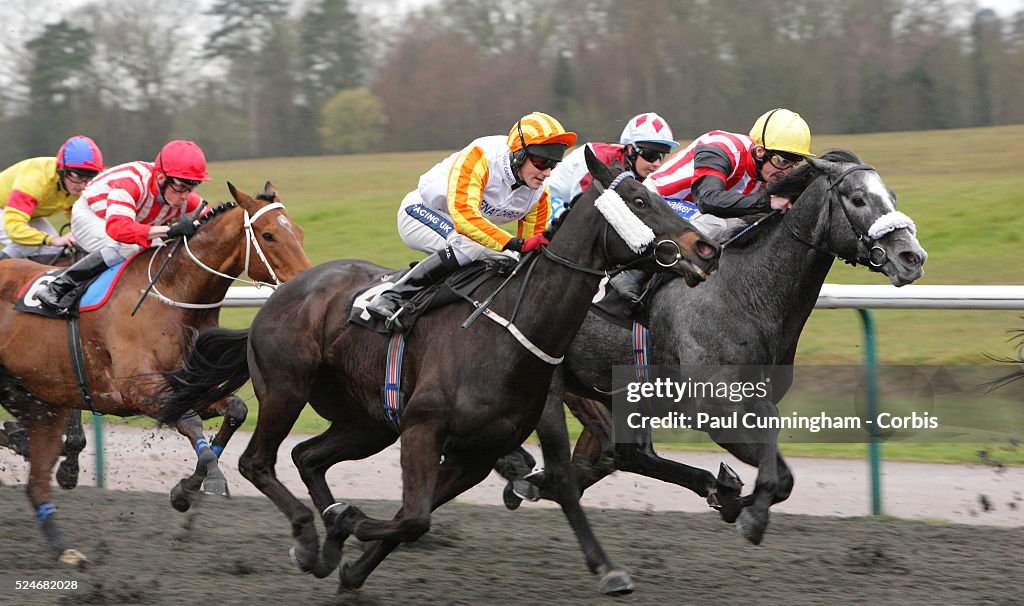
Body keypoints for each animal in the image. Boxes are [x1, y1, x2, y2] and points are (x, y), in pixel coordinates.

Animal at [0, 183, 309, 565]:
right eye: (268, 235)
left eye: (298, 232)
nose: (306, 282)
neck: (173, 297)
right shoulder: (140, 391)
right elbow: (191, 424)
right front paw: (211, 480)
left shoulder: (189, 387)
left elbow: (235, 410)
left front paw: (184, 491)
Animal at [153, 149, 720, 593]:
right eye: (641, 201)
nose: (706, 249)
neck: (508, 327)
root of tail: (279, 296)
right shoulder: (425, 428)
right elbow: (415, 517)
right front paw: (345, 527)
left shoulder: (476, 451)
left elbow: (417, 518)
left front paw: (349, 557)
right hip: (287, 390)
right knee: (260, 462)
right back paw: (308, 538)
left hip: (369, 423)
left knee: (307, 456)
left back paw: (325, 540)